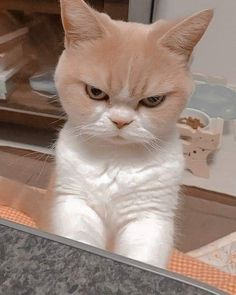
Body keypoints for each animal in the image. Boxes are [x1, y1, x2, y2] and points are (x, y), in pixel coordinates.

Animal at [48, 0, 213, 268]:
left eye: (153, 100)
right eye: (95, 92)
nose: (120, 121)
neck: (116, 162)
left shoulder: (149, 218)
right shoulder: (75, 204)